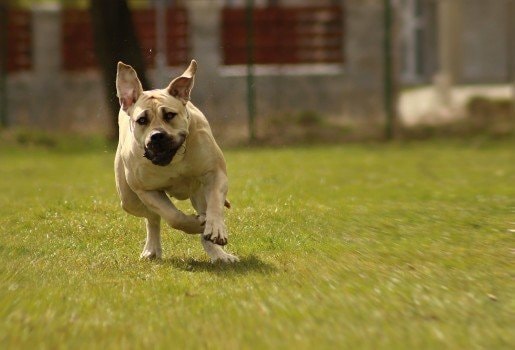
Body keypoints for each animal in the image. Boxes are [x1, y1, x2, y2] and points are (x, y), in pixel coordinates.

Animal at [114, 60, 239, 262]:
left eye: (169, 115)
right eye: (142, 120)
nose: (157, 136)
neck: (173, 159)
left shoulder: (215, 174)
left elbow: (215, 204)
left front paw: (215, 229)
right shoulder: (146, 190)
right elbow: (173, 216)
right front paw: (194, 224)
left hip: (199, 192)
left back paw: (220, 255)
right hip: (129, 200)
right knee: (152, 217)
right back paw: (152, 249)